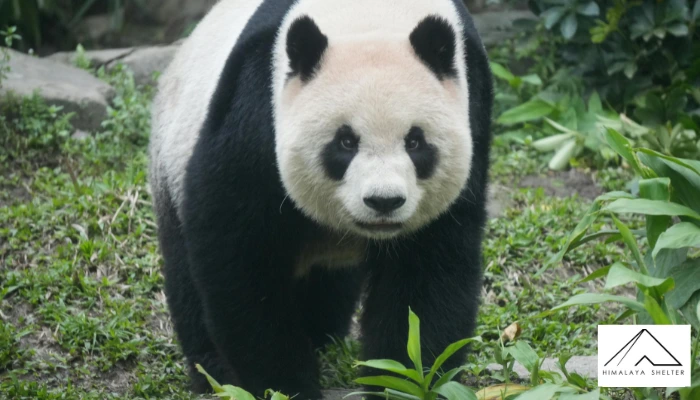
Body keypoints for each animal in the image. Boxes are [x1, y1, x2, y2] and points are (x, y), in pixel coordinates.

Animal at [149, 0, 492, 397]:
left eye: (415, 141)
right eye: (345, 142)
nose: (384, 202)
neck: (370, 18)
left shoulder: (473, 104)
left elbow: (426, 271)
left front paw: (406, 381)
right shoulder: (255, 106)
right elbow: (240, 255)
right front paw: (284, 384)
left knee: (330, 283)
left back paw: (321, 334)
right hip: (172, 153)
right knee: (184, 273)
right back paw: (212, 370)